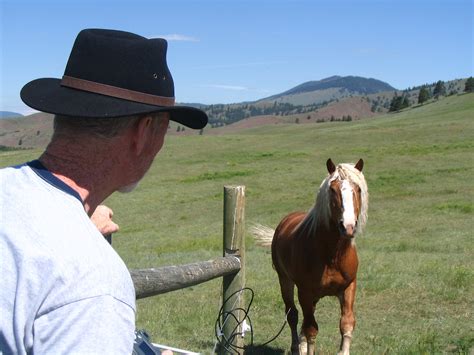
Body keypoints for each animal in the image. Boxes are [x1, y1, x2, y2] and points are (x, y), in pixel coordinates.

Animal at [252, 160, 366, 354]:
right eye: (333, 190)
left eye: (357, 189)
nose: (348, 227)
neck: (332, 255)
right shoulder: (305, 291)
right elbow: (311, 329)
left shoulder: (349, 286)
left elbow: (346, 324)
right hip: (286, 281)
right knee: (293, 315)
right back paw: (296, 346)